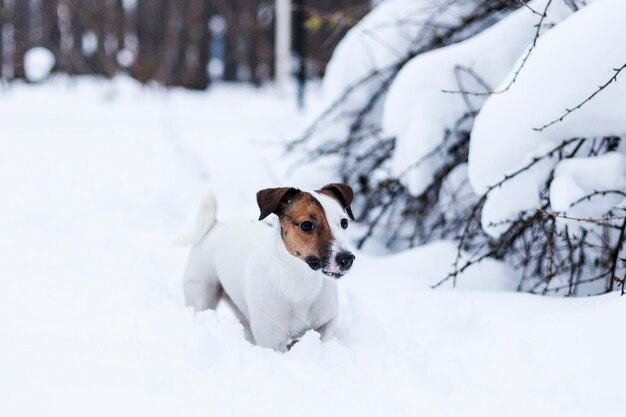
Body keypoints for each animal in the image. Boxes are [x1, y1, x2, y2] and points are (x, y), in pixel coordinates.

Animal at [182, 184, 356, 350]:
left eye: (344, 222)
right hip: (201, 295)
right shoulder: (271, 339)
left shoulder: (328, 321)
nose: (347, 258)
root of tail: (215, 225)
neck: (300, 283)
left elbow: (319, 336)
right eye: (306, 225)